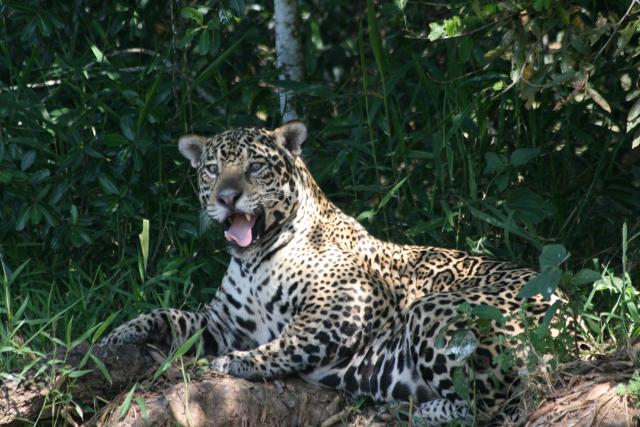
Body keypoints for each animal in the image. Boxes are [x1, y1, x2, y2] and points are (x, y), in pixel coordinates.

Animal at [102, 121, 563, 424]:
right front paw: (115, 336)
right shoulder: (221, 324)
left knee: (499, 404)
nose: (226, 197)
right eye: (212, 169)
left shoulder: (348, 300)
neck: (253, 260)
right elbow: (165, 314)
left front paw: (239, 363)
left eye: (255, 167)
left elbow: (293, 340)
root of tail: (569, 314)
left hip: (440, 310)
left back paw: (425, 409)